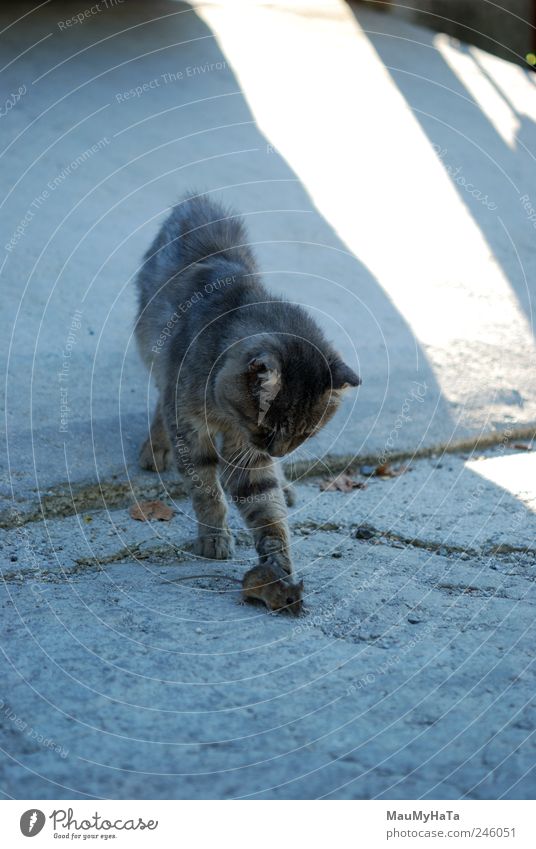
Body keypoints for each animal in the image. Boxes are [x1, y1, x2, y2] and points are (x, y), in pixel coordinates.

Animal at [134, 195, 360, 612]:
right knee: (160, 398)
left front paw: (278, 567)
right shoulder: (191, 427)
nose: (278, 450)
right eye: (268, 427)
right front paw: (213, 537)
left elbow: (266, 510)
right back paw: (155, 448)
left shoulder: (247, 454)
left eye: (305, 434)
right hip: (153, 351)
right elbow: (207, 489)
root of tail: (197, 201)